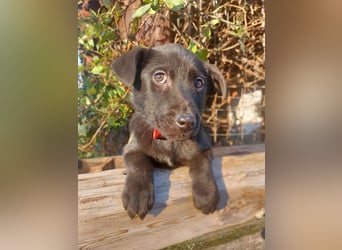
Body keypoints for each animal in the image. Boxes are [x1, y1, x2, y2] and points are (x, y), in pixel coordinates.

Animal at [112, 43, 227, 219]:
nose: (187, 122)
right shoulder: (132, 148)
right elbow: (138, 163)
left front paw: (206, 194)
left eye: (199, 83)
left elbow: (201, 164)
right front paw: (137, 194)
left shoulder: (204, 148)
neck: (168, 141)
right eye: (159, 77)